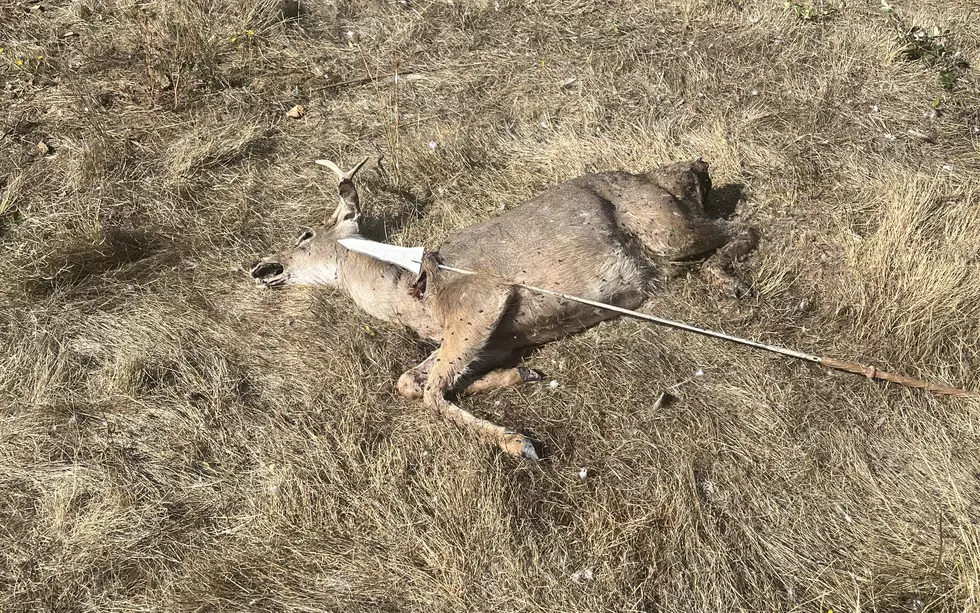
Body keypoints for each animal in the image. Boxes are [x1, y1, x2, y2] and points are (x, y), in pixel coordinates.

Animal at [250, 158, 758, 460]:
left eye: (304, 235)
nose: (261, 267)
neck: (415, 294)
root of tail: (680, 172)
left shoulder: (481, 302)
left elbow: (431, 392)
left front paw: (521, 443)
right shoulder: (494, 340)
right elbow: (411, 382)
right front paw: (522, 374)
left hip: (666, 227)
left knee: (745, 226)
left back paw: (727, 279)